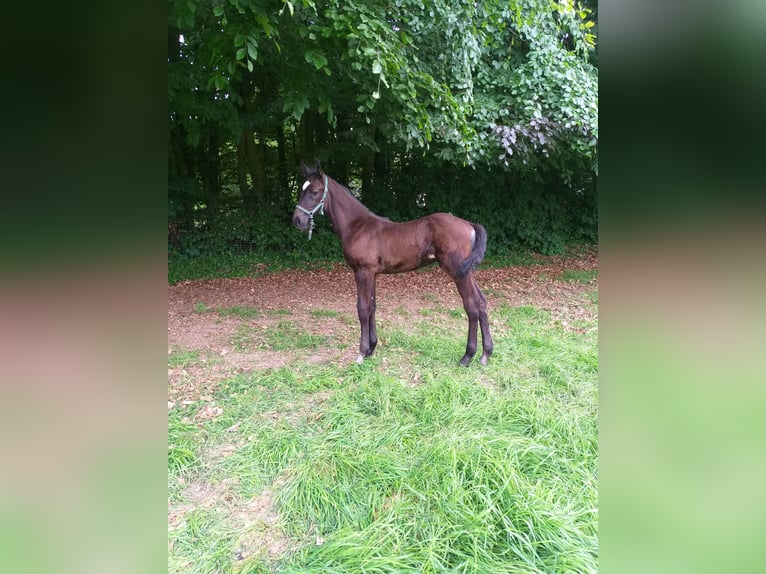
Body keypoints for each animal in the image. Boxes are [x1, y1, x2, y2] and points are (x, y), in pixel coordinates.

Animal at [292, 160, 493, 366]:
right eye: (301, 190)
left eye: (314, 192)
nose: (297, 221)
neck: (357, 226)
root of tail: (470, 225)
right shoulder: (372, 273)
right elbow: (372, 307)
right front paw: (371, 348)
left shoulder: (362, 272)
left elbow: (362, 309)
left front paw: (361, 353)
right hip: (468, 272)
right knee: (481, 302)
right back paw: (485, 354)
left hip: (458, 272)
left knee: (471, 306)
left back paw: (467, 356)